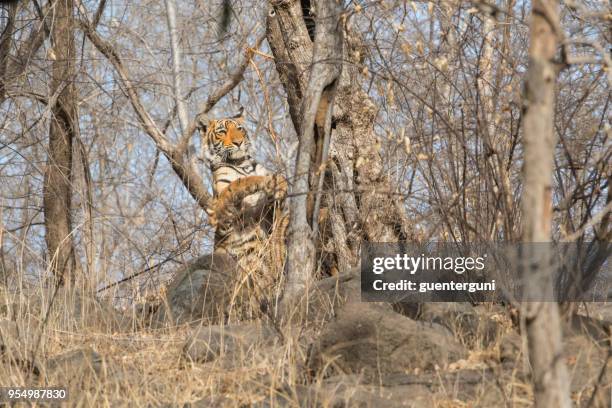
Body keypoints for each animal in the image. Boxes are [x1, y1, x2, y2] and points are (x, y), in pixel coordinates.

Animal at [198, 116, 290, 320]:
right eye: (222, 132)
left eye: (239, 129)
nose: (238, 142)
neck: (242, 163)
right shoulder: (221, 211)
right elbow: (240, 182)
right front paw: (262, 181)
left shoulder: (268, 214)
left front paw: (279, 184)